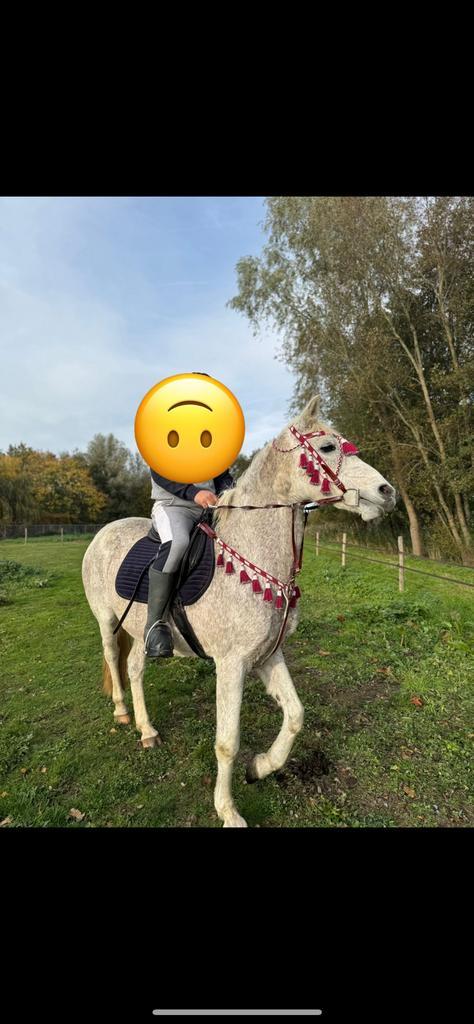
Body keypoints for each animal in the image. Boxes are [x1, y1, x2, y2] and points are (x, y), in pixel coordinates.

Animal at [81, 395, 396, 827]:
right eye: (329, 447)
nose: (387, 492)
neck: (255, 555)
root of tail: (104, 531)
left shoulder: (267, 655)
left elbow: (295, 715)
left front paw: (261, 767)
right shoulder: (231, 664)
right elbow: (227, 742)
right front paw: (228, 810)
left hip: (138, 628)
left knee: (134, 669)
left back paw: (147, 730)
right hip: (106, 620)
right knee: (114, 659)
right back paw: (122, 713)